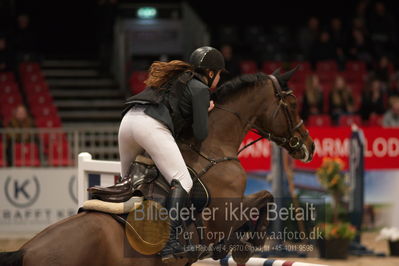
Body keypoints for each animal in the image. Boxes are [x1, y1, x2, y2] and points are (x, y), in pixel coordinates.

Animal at [0, 67, 318, 264]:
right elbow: (266, 198)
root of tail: (26, 251)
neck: (215, 147)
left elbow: (266, 198)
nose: (310, 146)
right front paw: (246, 246)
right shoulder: (226, 213)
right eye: (292, 104)